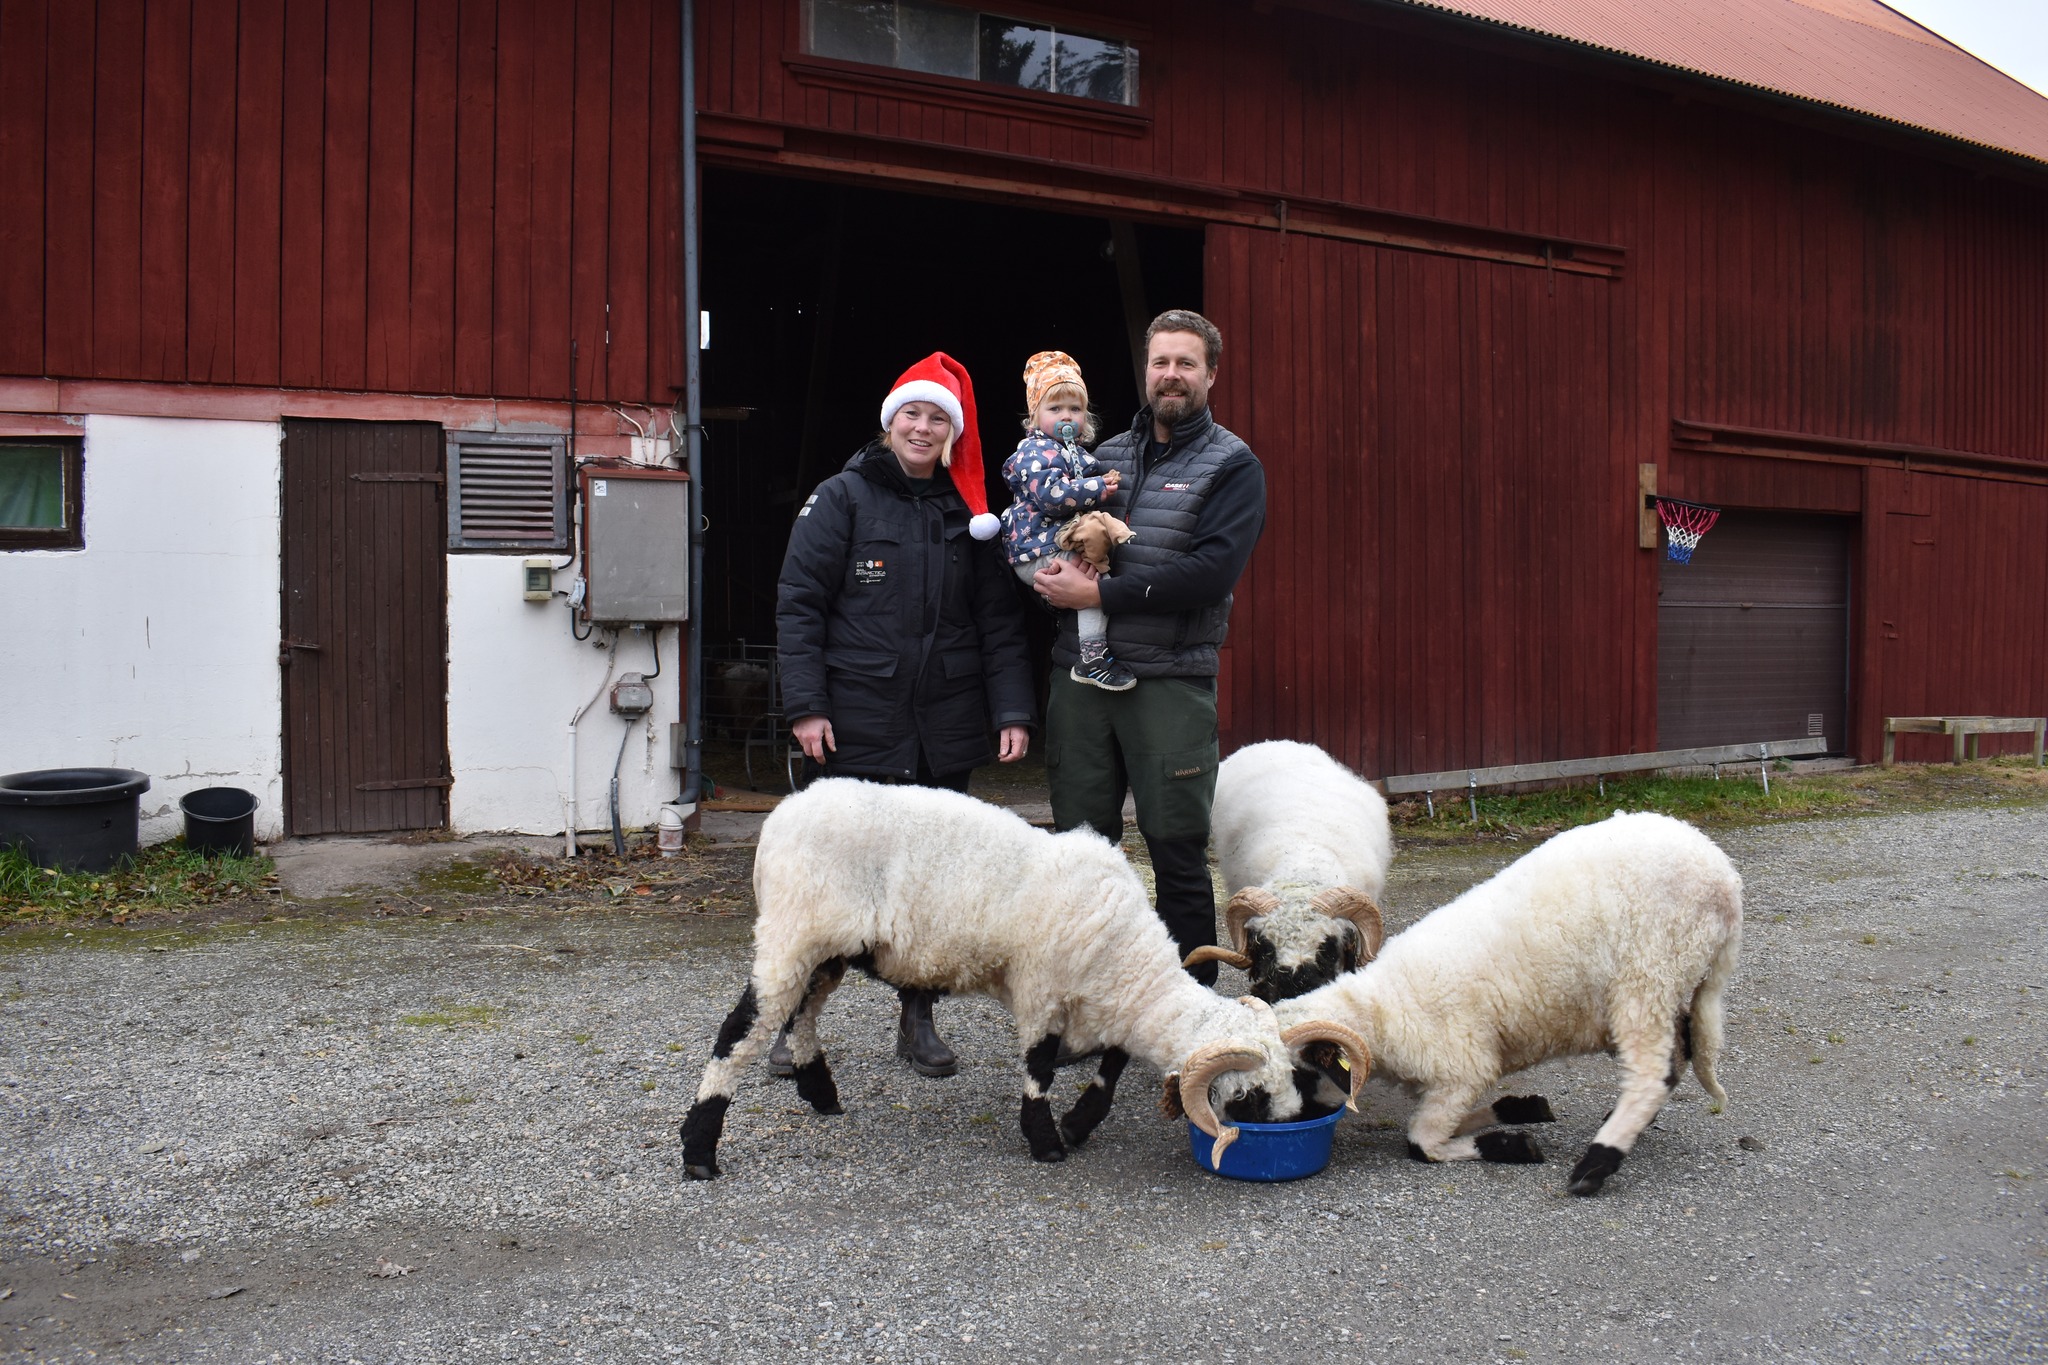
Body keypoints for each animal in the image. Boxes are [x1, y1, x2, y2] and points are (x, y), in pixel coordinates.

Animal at [675, 785, 1376, 1178]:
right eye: (1250, 1097)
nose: (1287, 1126)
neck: (1127, 963)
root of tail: (782, 814)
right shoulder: (1040, 991)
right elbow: (1038, 1068)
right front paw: (1047, 1143)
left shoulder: (1104, 1007)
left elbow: (1111, 1066)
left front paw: (1080, 1123)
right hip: (793, 930)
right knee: (742, 1027)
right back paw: (700, 1152)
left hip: (830, 947)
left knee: (802, 1012)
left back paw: (820, 1093)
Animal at [1269, 810, 1736, 1195]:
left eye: (1302, 1075)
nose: (1279, 1123)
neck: (1382, 1008)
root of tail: (1725, 877)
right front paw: (1520, 1109)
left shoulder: (1464, 1070)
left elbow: (1421, 1140)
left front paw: (1512, 1145)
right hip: (1664, 985)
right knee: (1678, 1053)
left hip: (1648, 974)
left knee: (1651, 1073)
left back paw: (1596, 1164)